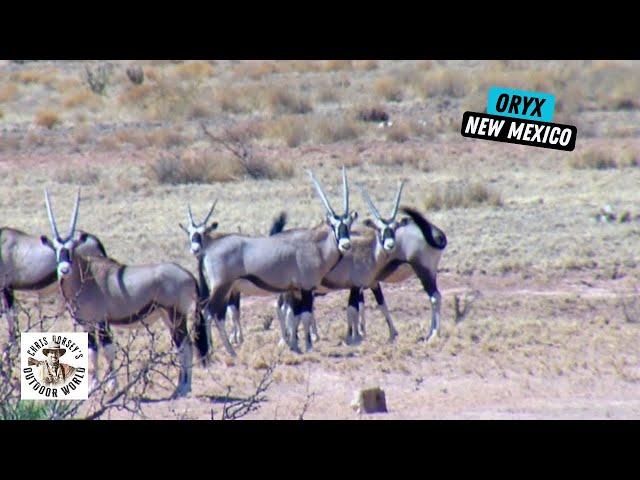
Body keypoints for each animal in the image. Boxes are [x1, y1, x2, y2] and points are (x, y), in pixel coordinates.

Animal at [42, 190, 208, 398]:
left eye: (71, 249)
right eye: (56, 249)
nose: (64, 269)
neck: (87, 277)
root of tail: (188, 275)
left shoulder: (102, 322)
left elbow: (108, 351)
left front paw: (111, 386)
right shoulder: (87, 325)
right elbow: (92, 351)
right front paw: (92, 387)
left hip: (176, 315)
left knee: (186, 347)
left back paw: (183, 389)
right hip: (168, 318)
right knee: (182, 346)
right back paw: (180, 387)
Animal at [200, 168, 356, 352]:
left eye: (349, 224)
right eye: (333, 225)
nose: (345, 245)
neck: (315, 245)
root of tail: (209, 248)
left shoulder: (295, 290)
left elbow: (295, 316)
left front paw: (294, 345)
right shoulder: (306, 288)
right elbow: (305, 315)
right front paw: (308, 346)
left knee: (212, 314)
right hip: (222, 287)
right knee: (210, 312)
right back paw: (224, 351)